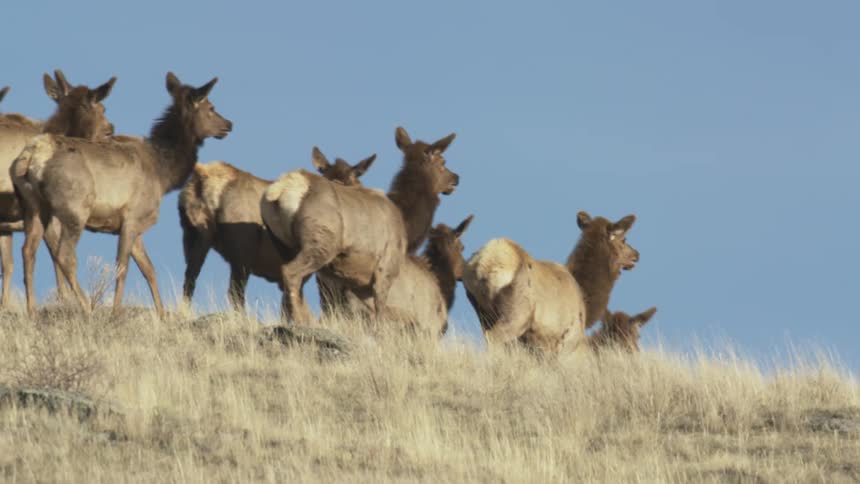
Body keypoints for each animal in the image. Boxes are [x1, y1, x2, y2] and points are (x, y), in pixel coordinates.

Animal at [11, 72, 232, 317]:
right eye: (211, 107)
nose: (228, 124)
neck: (163, 175)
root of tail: (34, 155)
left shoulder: (133, 225)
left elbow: (149, 269)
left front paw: (162, 313)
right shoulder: (133, 216)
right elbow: (122, 267)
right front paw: (116, 311)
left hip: (32, 206)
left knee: (28, 250)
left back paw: (31, 310)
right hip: (74, 208)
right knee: (65, 255)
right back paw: (87, 306)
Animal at [178, 146, 376, 310]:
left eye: (352, 180)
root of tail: (206, 178)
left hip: (194, 234)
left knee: (189, 279)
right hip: (243, 247)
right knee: (235, 292)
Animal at [462, 212, 639, 353]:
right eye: (624, 240)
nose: (636, 255)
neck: (585, 299)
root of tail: (484, 263)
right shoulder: (567, 338)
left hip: (483, 313)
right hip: (517, 314)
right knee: (494, 337)